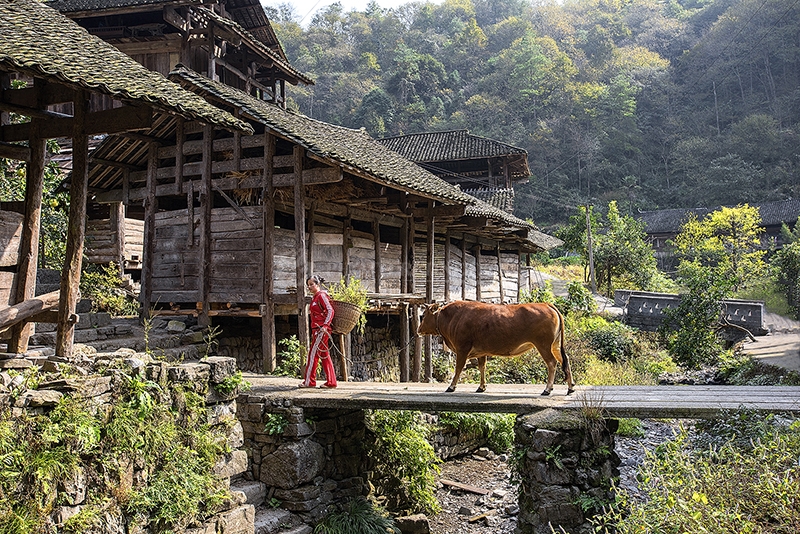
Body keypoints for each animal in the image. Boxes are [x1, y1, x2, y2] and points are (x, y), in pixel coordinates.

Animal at [418, 304, 576, 396]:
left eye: (423, 315)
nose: (418, 330)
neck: (453, 318)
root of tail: (547, 305)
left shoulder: (462, 348)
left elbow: (458, 368)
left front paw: (451, 386)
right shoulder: (481, 352)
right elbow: (482, 367)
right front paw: (481, 387)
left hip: (543, 345)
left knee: (552, 363)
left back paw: (547, 389)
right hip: (555, 345)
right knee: (565, 360)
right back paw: (570, 387)